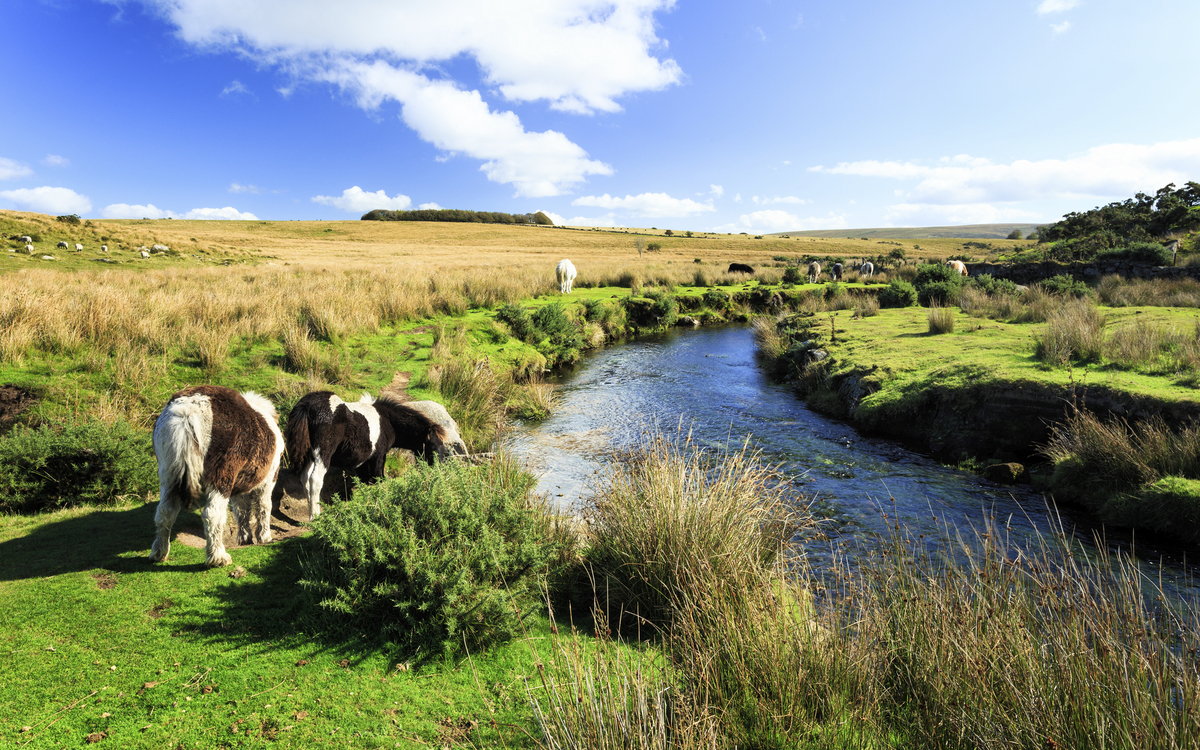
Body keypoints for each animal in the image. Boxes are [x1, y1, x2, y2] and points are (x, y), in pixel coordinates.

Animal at [149, 386, 284, 568]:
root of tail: (188, 410)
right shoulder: (268, 481)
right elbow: (263, 507)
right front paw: (264, 537)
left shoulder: (239, 486)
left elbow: (241, 510)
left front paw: (245, 538)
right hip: (221, 478)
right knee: (212, 514)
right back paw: (218, 557)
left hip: (169, 476)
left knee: (165, 512)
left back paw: (159, 553)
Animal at [284, 391, 449, 520]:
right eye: (433, 446)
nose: (439, 470)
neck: (387, 420)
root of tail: (307, 406)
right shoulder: (379, 456)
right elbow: (378, 479)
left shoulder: (363, 462)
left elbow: (364, 482)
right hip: (322, 455)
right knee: (315, 479)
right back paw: (315, 517)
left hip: (308, 456)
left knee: (305, 479)